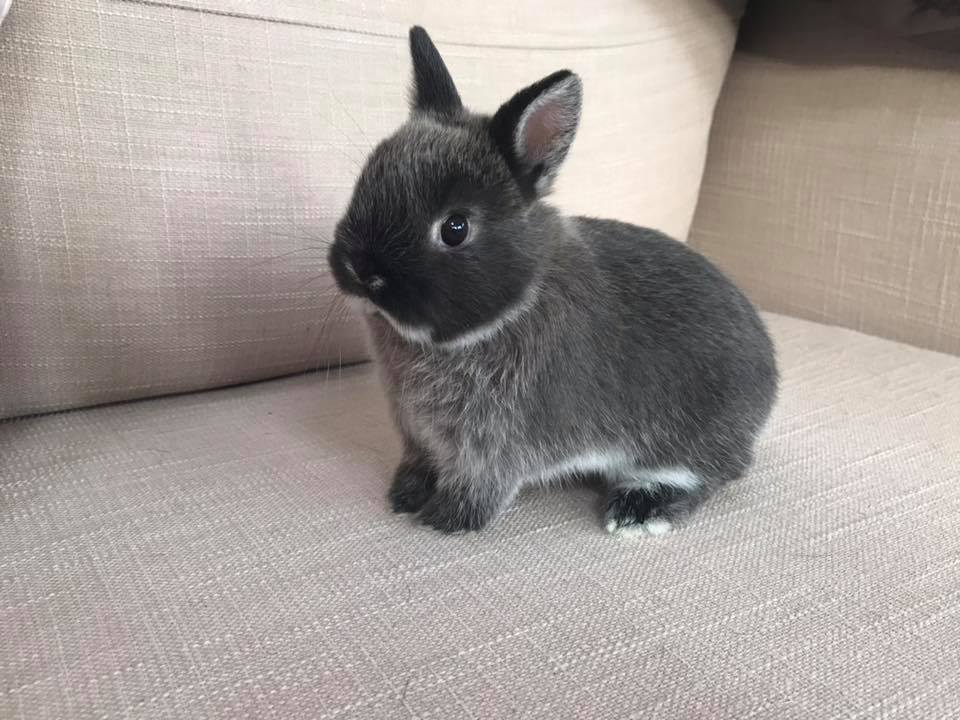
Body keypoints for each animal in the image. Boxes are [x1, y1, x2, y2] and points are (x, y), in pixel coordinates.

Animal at [327, 26, 778, 536]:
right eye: (365, 182)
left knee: (708, 472)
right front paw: (403, 497)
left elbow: (481, 486)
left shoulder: (492, 445)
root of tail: (770, 374)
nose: (360, 270)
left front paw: (446, 520)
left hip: (683, 440)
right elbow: (419, 465)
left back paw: (638, 511)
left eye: (455, 228)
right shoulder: (419, 435)